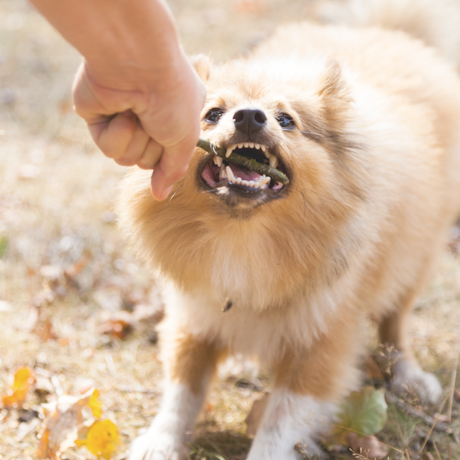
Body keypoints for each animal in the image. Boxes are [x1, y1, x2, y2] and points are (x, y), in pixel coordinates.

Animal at [117, 1, 460, 458]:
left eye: (286, 120)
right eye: (212, 115)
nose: (249, 116)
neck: (242, 237)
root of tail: (390, 32)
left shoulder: (318, 347)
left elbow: (279, 422)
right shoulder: (195, 316)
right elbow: (182, 391)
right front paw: (160, 442)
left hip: (414, 260)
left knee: (395, 324)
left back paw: (409, 376)